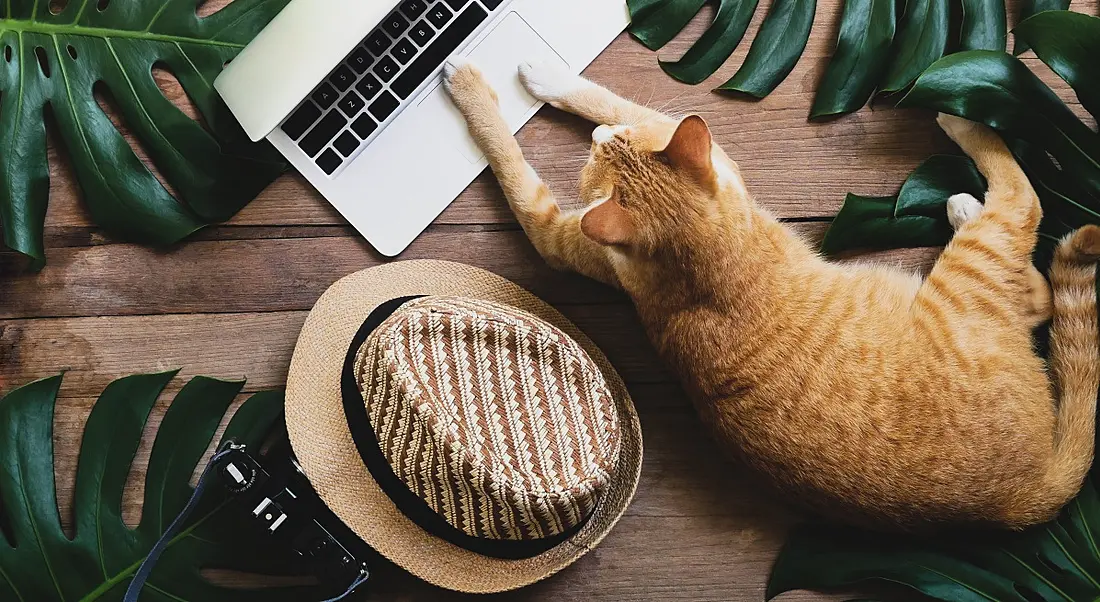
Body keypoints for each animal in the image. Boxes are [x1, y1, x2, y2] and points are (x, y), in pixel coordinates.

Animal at [442, 56, 1100, 528]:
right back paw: (964, 199)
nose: (601, 138)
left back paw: (961, 122)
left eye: (603, 153)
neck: (706, 252)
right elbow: (551, 141)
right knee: (1035, 274)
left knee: (1026, 204)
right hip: (978, 269)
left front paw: (529, 81)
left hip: (974, 264)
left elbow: (581, 115)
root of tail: (1026, 495)